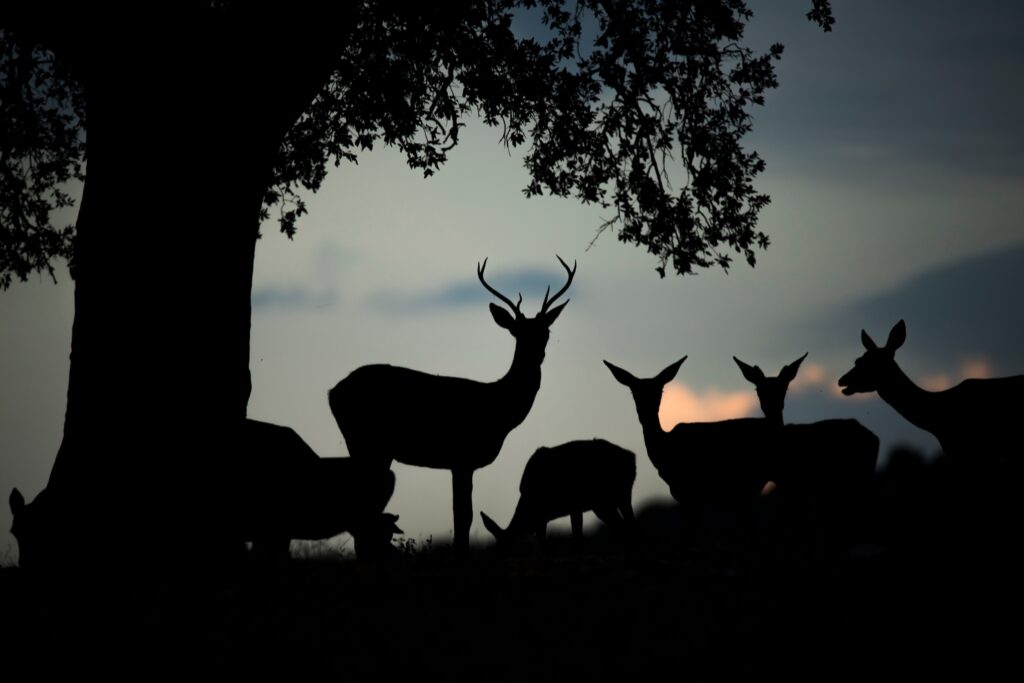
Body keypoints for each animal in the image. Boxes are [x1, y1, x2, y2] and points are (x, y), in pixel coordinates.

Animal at [329, 256, 576, 551]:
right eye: (517, 333)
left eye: (545, 332)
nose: (536, 355)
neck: (498, 408)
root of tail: (332, 392)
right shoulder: (462, 457)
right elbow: (464, 516)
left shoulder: (459, 463)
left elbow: (461, 515)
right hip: (367, 442)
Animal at [479, 438, 636, 545]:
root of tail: (632, 457)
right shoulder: (553, 515)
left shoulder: (555, 513)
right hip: (611, 501)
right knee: (625, 525)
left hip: (612, 499)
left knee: (626, 525)